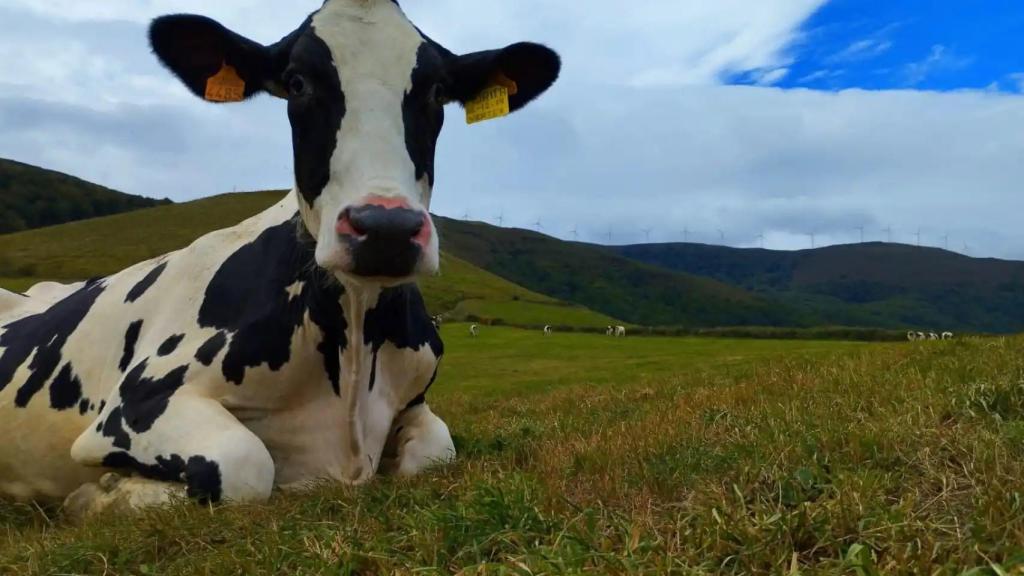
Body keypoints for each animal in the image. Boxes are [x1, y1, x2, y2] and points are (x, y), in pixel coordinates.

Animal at [0, 0, 560, 518]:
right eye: (296, 83)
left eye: (438, 90)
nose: (386, 230)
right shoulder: (134, 404)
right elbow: (245, 463)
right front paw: (103, 495)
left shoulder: (416, 400)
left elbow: (438, 451)